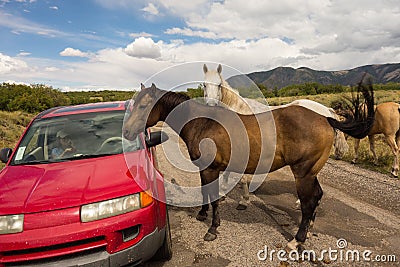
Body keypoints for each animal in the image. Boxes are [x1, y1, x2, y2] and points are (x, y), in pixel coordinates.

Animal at [122, 83, 376, 251]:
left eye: (144, 106)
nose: (126, 132)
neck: (203, 123)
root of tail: (325, 117)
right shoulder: (205, 169)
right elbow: (206, 193)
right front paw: (202, 214)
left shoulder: (211, 169)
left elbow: (214, 197)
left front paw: (213, 229)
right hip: (312, 172)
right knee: (317, 196)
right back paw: (308, 227)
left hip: (303, 173)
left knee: (308, 202)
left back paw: (297, 239)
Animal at [205, 64, 348, 209]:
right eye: (204, 85)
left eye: (219, 85)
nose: (211, 106)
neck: (238, 110)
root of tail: (327, 111)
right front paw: (223, 193)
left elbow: (241, 178)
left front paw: (243, 200)